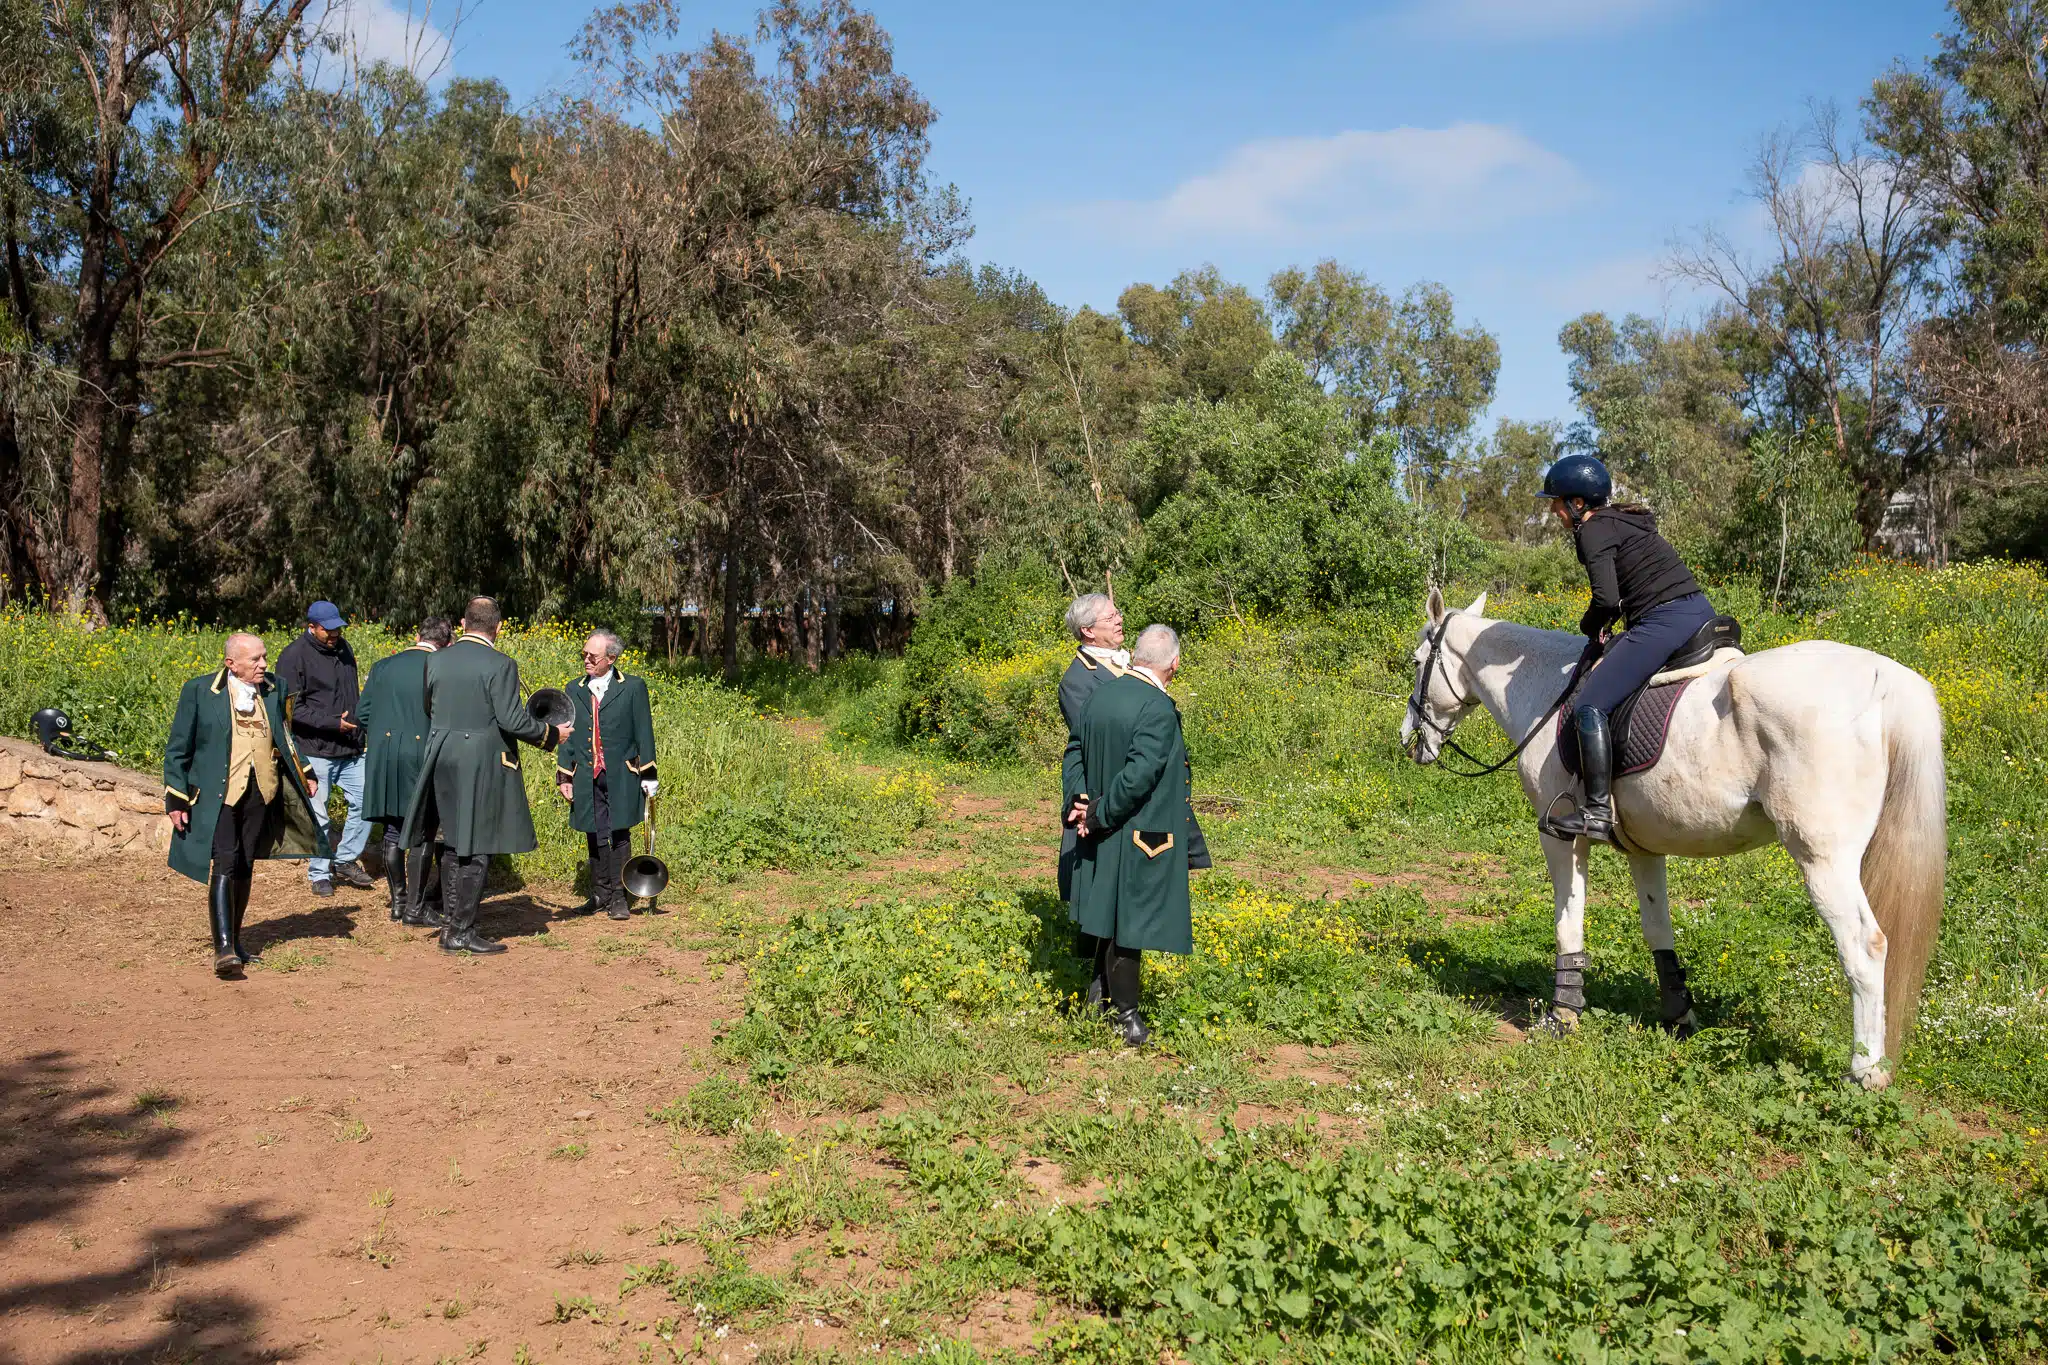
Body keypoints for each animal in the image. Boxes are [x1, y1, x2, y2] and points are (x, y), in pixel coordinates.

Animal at [1398, 587, 1947, 1090]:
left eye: (1419, 661)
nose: (1410, 740)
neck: (1545, 692)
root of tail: (1884, 678)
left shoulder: (1561, 838)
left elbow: (1568, 925)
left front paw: (1563, 1015)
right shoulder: (1645, 848)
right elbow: (1657, 928)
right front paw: (1679, 1016)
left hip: (1823, 860)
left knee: (1865, 947)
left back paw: (1866, 1071)